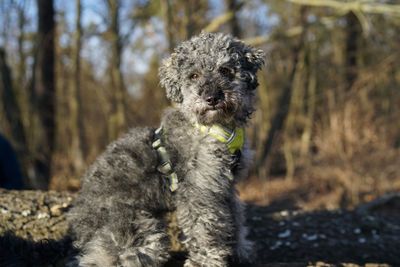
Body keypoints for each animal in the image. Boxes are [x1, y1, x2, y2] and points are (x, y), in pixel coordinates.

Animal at [67, 31, 264, 267]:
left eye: (225, 70)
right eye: (193, 76)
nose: (212, 98)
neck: (214, 129)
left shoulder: (225, 187)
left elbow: (234, 219)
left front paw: (240, 250)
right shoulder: (199, 192)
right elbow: (203, 230)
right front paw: (206, 260)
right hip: (137, 235)